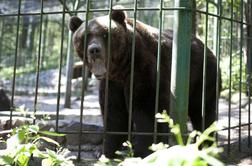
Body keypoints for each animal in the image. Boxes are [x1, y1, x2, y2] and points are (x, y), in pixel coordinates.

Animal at [69, 8, 220, 157]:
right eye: (85, 37)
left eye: (105, 34)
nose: (94, 50)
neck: (121, 68)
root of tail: (204, 45)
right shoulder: (112, 84)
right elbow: (115, 115)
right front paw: (107, 151)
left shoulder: (143, 70)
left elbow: (147, 109)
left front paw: (144, 151)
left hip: (202, 76)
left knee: (203, 111)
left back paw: (206, 144)